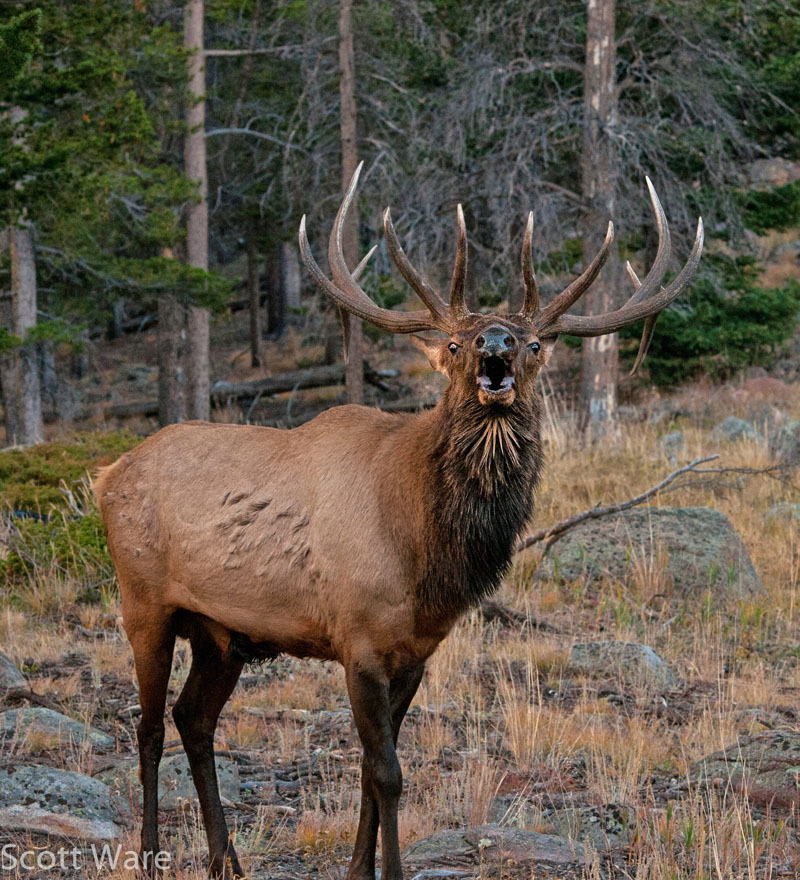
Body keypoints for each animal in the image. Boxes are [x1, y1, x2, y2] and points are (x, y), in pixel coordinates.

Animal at [94, 163, 702, 880]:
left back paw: (228, 861)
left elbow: (367, 771)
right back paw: (151, 854)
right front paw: (391, 870)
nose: (495, 345)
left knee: (194, 719)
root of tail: (106, 474)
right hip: (144, 601)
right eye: (455, 342)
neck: (424, 552)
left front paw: (360, 869)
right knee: (148, 727)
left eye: (532, 344)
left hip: (222, 633)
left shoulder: (415, 652)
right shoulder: (356, 639)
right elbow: (387, 773)